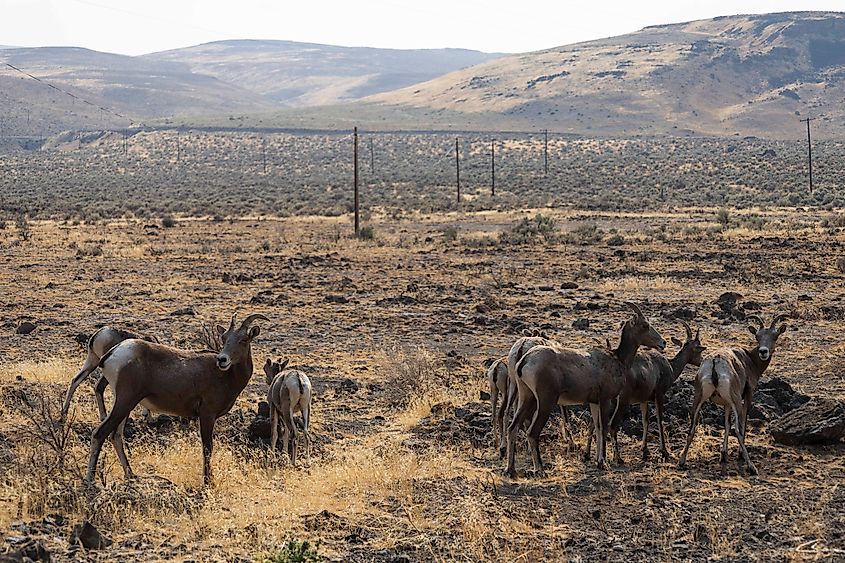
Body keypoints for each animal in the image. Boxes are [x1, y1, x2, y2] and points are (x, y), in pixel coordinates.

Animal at [83, 313, 269, 485]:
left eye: (243, 339)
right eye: (224, 338)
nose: (222, 360)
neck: (226, 377)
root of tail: (114, 353)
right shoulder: (207, 415)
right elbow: (207, 448)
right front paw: (208, 482)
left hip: (125, 405)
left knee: (116, 436)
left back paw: (131, 475)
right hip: (124, 402)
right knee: (100, 433)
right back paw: (90, 479)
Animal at [505, 303, 665, 477]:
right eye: (645, 325)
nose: (663, 343)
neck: (617, 359)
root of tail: (525, 359)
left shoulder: (594, 403)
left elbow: (597, 427)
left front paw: (597, 461)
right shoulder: (605, 400)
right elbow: (604, 428)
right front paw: (603, 462)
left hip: (526, 397)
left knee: (513, 428)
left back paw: (510, 470)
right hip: (544, 402)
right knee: (532, 433)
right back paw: (540, 469)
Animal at [678, 314, 788, 475]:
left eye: (775, 336)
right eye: (757, 336)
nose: (763, 351)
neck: (749, 360)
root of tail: (715, 362)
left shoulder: (726, 404)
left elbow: (726, 424)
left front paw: (723, 455)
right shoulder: (747, 396)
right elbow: (741, 423)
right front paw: (739, 456)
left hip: (698, 399)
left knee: (692, 428)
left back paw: (681, 461)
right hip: (736, 401)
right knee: (738, 430)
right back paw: (751, 467)